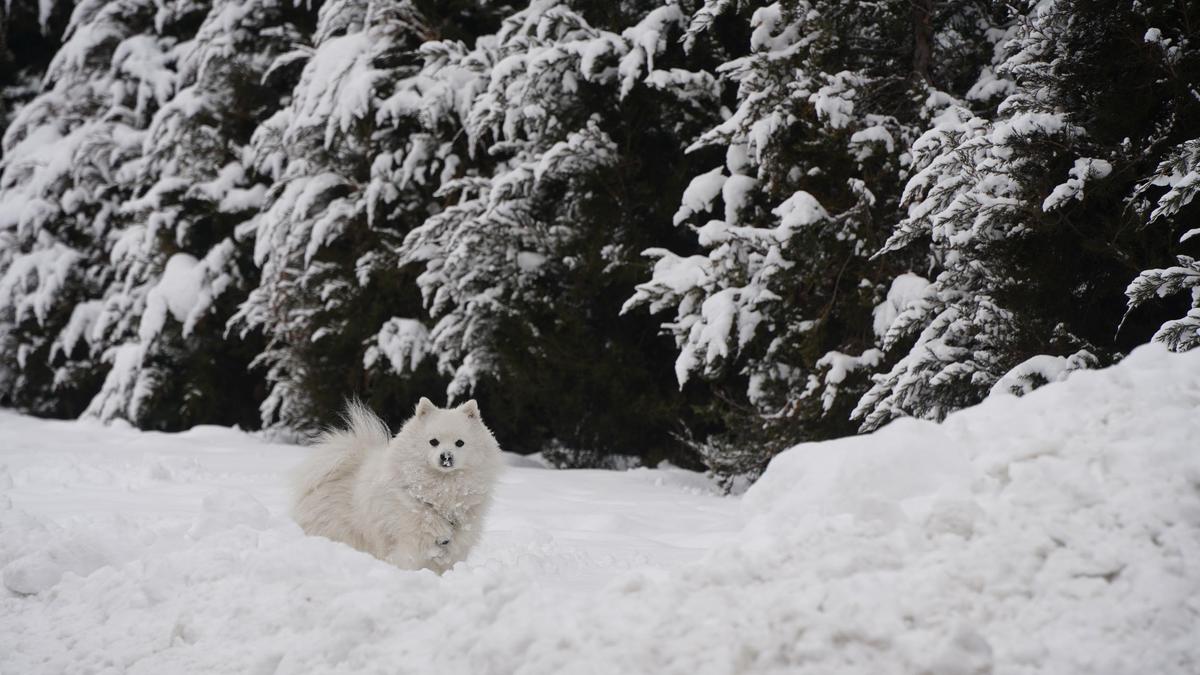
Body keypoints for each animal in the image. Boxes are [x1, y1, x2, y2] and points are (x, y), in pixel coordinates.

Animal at [292, 396, 504, 569]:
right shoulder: (408, 545)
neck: (441, 495)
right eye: (433, 442)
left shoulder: (453, 548)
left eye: (459, 443)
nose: (446, 457)